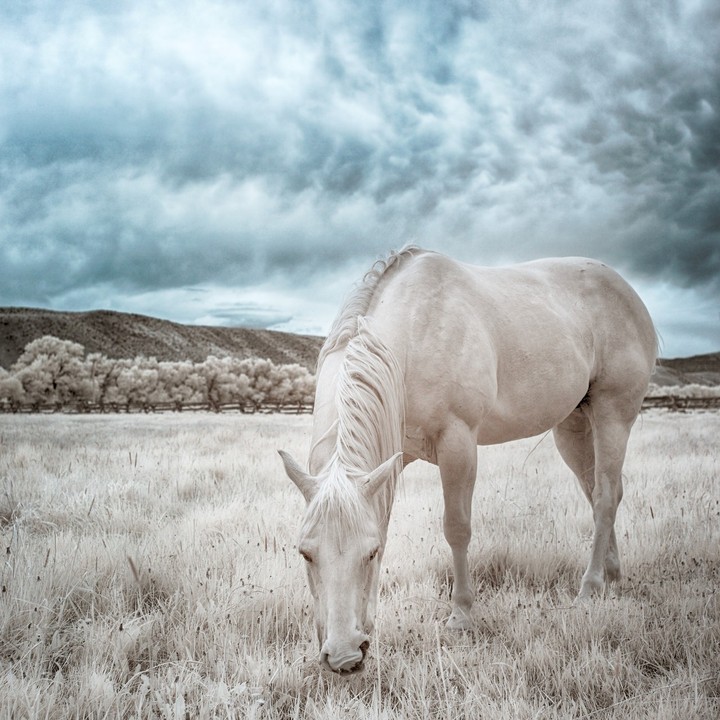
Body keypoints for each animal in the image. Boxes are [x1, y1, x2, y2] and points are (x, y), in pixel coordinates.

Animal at [279, 247, 657, 674]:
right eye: (305, 553)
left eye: (369, 552)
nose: (344, 657)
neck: (410, 338)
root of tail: (627, 293)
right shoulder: (390, 460)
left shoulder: (458, 443)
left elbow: (457, 529)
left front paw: (460, 615)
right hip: (573, 426)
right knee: (598, 495)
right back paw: (612, 575)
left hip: (613, 415)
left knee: (606, 497)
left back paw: (590, 587)